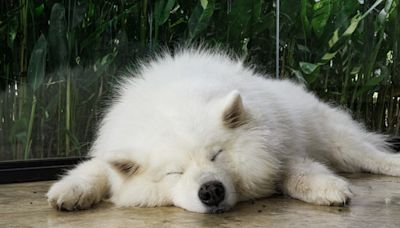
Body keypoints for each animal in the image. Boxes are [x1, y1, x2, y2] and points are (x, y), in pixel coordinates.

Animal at [47, 48, 400, 214]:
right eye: (175, 173)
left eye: (217, 155)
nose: (211, 191)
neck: (175, 100)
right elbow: (94, 170)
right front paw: (68, 191)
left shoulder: (277, 150)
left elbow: (298, 172)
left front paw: (327, 188)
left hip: (337, 141)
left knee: (371, 155)